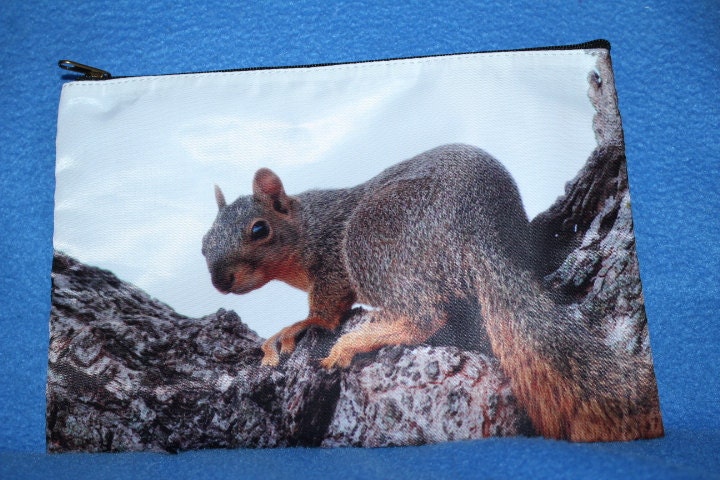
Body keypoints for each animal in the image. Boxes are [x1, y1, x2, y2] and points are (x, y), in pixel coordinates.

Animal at [202, 143, 663, 442]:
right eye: (204, 242)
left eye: (259, 230)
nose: (220, 282)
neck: (305, 228)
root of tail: (476, 226)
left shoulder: (332, 258)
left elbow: (327, 311)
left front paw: (297, 326)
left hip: (370, 238)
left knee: (424, 315)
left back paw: (359, 339)